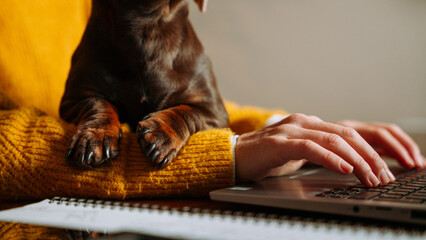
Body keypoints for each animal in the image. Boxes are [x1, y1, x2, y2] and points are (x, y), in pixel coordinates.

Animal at [59, 0, 230, 170]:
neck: (146, 23)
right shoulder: (74, 100)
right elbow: (98, 104)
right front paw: (95, 136)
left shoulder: (215, 112)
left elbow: (186, 111)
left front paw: (162, 133)